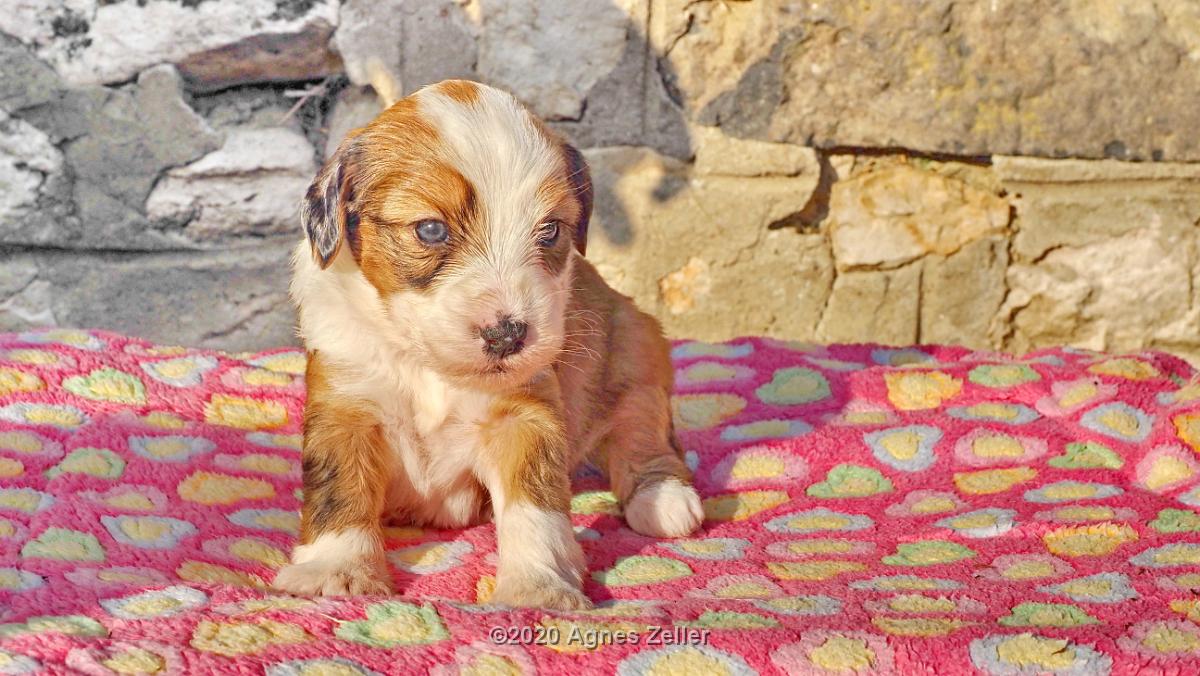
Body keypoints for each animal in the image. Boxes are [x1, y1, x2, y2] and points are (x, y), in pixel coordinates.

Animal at [272, 80, 700, 614]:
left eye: (550, 230)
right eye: (431, 229)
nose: (508, 334)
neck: (428, 367)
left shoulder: (525, 414)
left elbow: (535, 508)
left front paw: (538, 588)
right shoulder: (346, 404)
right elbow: (338, 488)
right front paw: (336, 572)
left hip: (635, 347)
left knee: (643, 430)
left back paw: (663, 499)